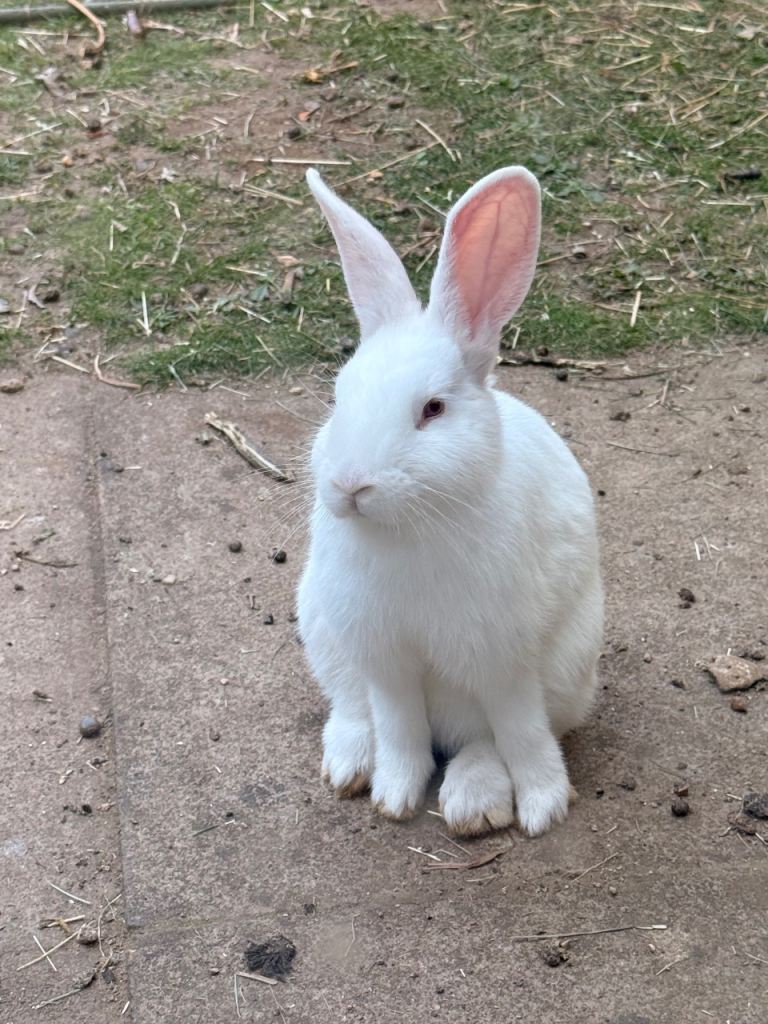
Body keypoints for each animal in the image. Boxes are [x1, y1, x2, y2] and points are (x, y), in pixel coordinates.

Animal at [296, 165, 603, 837]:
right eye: (338, 398)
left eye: (433, 409)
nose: (351, 485)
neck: (408, 529)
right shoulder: (386, 661)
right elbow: (400, 732)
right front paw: (393, 797)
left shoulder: (504, 660)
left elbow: (522, 734)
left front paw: (543, 808)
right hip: (326, 637)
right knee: (355, 710)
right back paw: (350, 765)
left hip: (567, 670)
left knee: (480, 742)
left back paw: (475, 804)